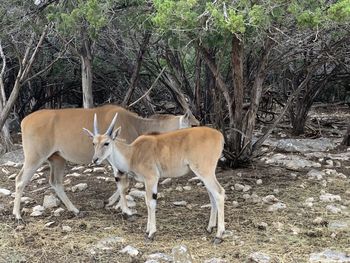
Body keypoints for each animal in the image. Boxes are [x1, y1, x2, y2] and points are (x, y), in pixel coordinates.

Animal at [13, 104, 200, 222]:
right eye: (193, 125)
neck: (136, 124)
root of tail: (24, 120)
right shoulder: (120, 161)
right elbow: (124, 185)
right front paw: (122, 208)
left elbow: (123, 184)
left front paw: (111, 203)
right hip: (35, 157)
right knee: (20, 180)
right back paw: (17, 215)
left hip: (57, 158)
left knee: (56, 182)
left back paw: (75, 210)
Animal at [85, 113, 227, 245]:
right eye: (93, 143)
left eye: (106, 143)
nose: (95, 160)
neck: (133, 154)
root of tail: (219, 136)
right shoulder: (147, 181)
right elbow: (147, 202)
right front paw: (147, 230)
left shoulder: (151, 178)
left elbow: (150, 202)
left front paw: (151, 233)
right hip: (204, 174)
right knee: (212, 195)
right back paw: (210, 227)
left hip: (205, 171)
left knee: (219, 193)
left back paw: (219, 235)